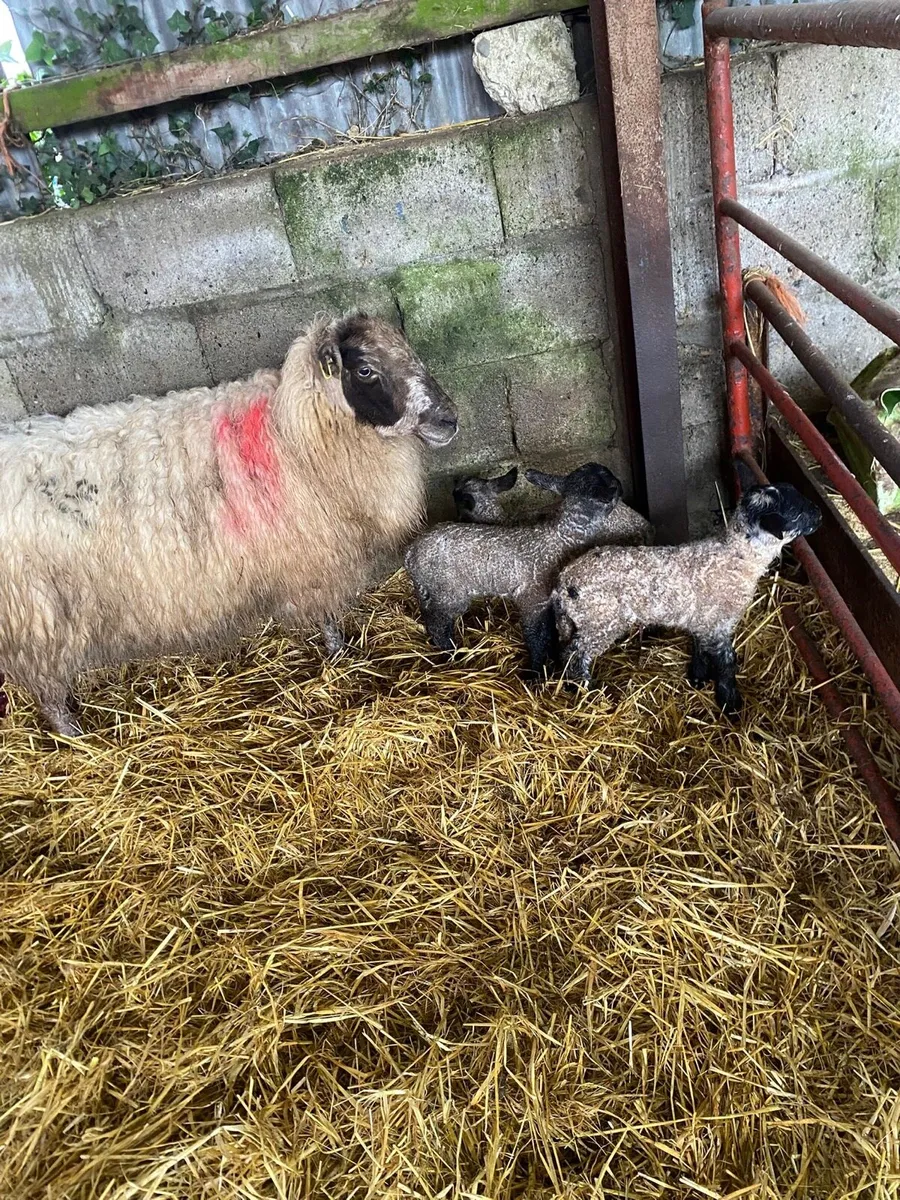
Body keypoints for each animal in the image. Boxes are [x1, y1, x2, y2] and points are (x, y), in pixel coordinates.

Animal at [0, 312, 457, 736]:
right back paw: (75, 735)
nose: (449, 419)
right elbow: (327, 619)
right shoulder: (311, 561)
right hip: (36, 621)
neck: (291, 433)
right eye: (364, 370)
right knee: (46, 689)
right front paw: (340, 655)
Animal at [405, 462, 648, 679]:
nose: (621, 486)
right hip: (448, 592)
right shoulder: (532, 600)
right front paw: (537, 672)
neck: (558, 538)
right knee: (439, 624)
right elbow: (536, 637)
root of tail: (410, 553)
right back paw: (451, 654)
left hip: (431, 589)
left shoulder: (548, 602)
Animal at [552, 461, 822, 716]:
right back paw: (587, 688)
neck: (735, 558)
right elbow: (726, 662)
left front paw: (698, 678)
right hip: (600, 620)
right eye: (798, 511)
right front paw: (730, 704)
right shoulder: (720, 622)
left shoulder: (702, 618)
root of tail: (563, 584)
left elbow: (700, 648)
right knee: (575, 654)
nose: (819, 514)